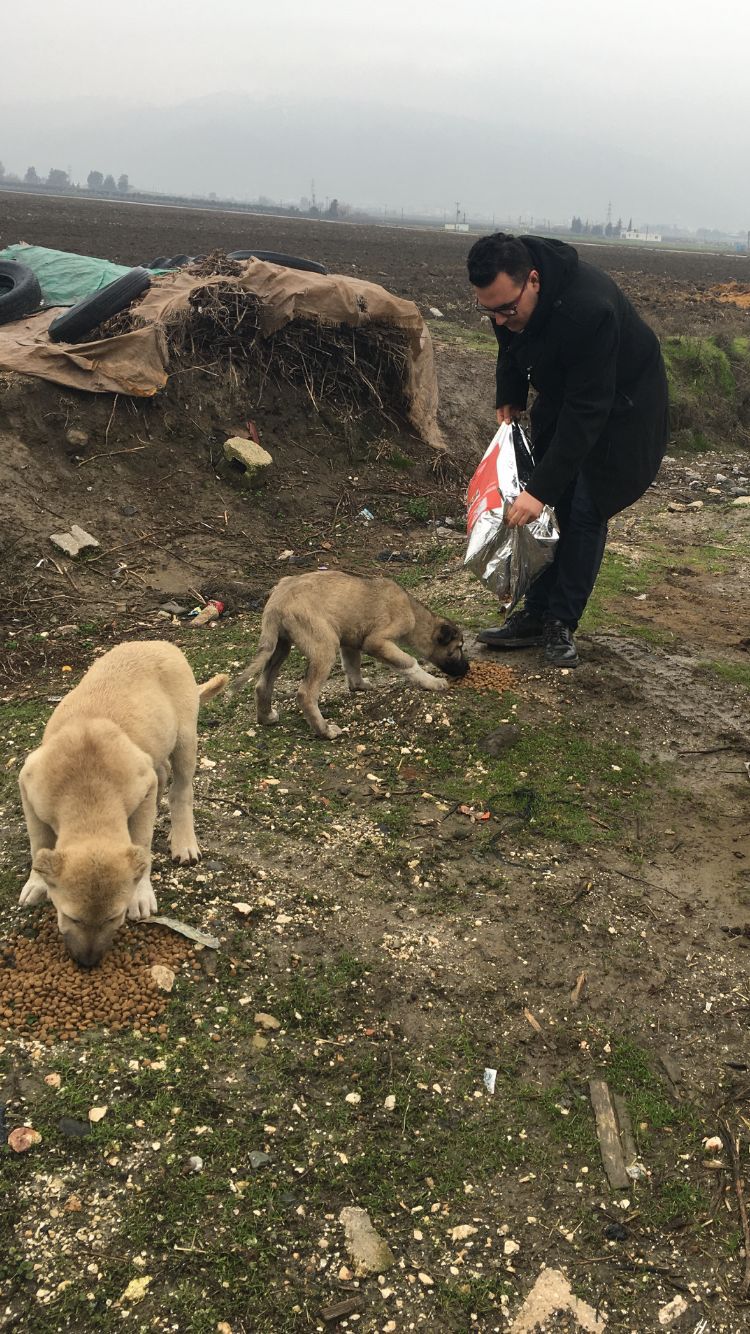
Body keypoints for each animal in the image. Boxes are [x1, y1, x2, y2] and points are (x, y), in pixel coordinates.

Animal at [19, 640, 226, 965]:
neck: (88, 792)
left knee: (181, 792)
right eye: (70, 916)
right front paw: (36, 884)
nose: (88, 964)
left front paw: (141, 893)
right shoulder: (28, 786)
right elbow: (38, 841)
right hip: (156, 749)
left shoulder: (142, 790)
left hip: (185, 740)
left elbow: (141, 842)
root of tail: (161, 643)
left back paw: (183, 841)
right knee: (163, 774)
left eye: (114, 919)